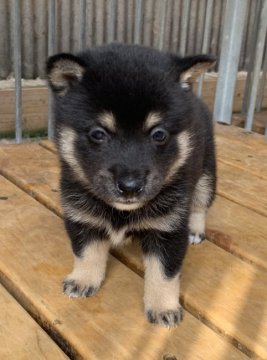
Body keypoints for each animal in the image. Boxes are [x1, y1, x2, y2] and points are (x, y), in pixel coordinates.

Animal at [46, 43, 218, 328]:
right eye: (98, 134)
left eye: (159, 134)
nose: (130, 186)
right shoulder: (82, 218)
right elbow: (86, 252)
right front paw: (83, 279)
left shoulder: (169, 230)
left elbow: (164, 273)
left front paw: (163, 307)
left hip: (207, 174)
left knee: (199, 205)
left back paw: (195, 230)